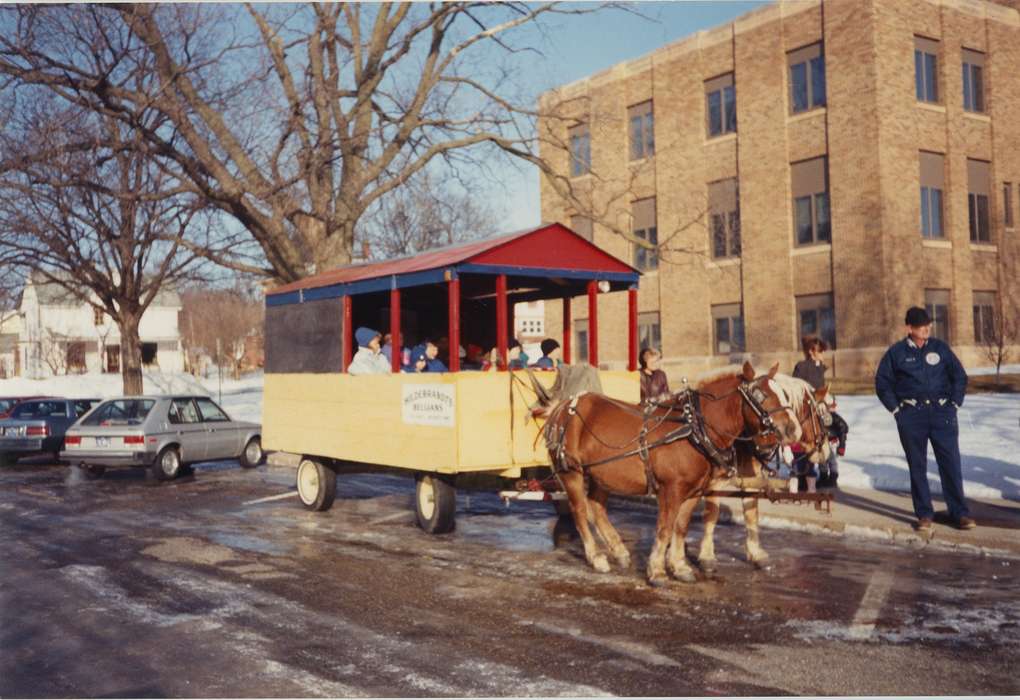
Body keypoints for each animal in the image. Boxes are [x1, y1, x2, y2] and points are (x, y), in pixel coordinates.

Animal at [546, 361, 799, 587]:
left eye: (784, 394)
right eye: (762, 396)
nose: (792, 430)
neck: (694, 430)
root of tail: (562, 407)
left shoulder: (693, 491)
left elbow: (681, 527)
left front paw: (680, 567)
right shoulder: (671, 489)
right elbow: (665, 528)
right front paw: (657, 571)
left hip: (603, 474)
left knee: (597, 507)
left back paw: (619, 551)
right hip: (571, 473)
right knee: (580, 511)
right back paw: (597, 557)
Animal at [697, 375, 832, 571]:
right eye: (819, 415)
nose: (826, 452)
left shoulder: (750, 478)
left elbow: (751, 512)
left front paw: (756, 553)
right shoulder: (714, 481)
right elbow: (711, 514)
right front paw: (706, 556)